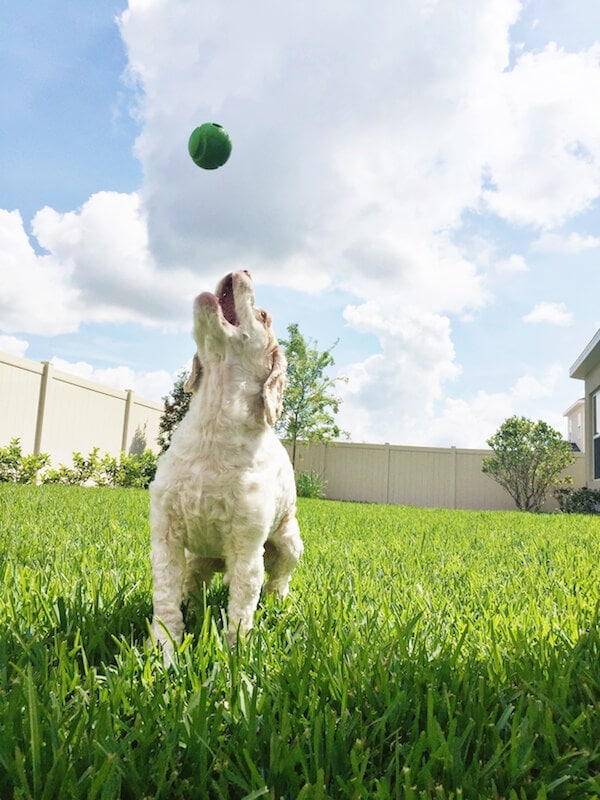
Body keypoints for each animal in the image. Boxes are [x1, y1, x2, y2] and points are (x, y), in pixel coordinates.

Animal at [148, 270, 302, 656]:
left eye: (263, 316)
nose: (242, 270)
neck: (212, 426)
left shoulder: (246, 545)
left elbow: (242, 607)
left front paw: (236, 656)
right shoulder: (165, 535)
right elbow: (166, 598)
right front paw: (165, 652)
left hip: (289, 544)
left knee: (278, 580)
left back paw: (279, 605)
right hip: (199, 558)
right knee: (192, 582)